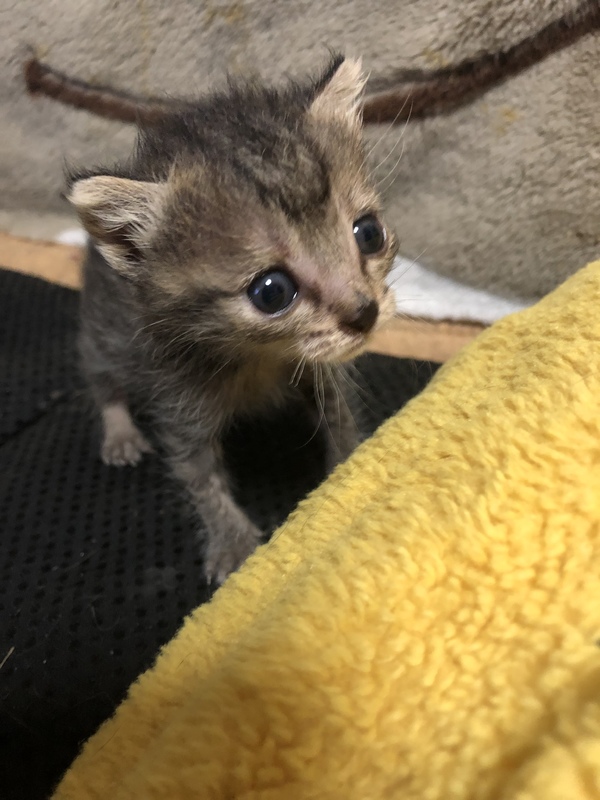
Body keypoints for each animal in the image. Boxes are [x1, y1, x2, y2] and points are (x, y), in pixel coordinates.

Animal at [67, 55, 398, 585]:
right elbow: (198, 474)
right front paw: (232, 542)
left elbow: (339, 416)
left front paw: (349, 465)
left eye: (368, 234)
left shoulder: (320, 371)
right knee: (102, 380)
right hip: (103, 333)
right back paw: (119, 432)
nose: (364, 314)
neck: (259, 357)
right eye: (272, 291)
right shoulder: (177, 397)